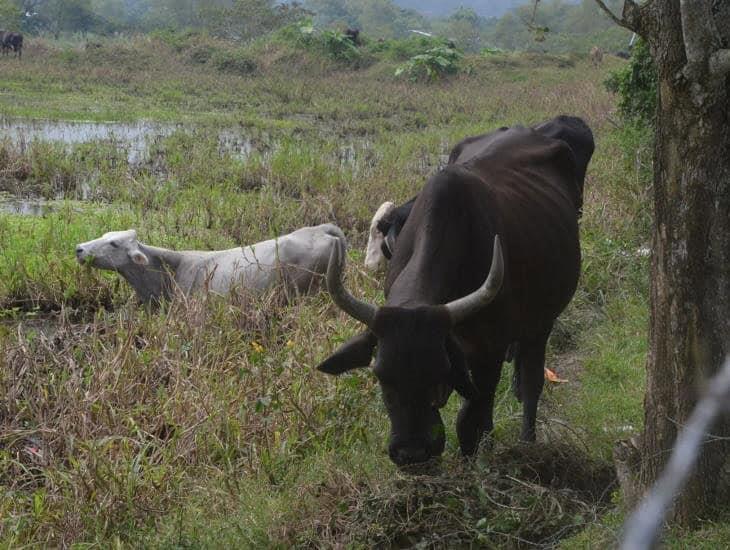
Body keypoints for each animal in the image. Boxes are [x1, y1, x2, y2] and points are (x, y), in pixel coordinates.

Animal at [318, 125, 584, 466]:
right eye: (381, 374)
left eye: (439, 370)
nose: (412, 452)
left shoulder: (489, 350)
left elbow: (470, 421)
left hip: (542, 322)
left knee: (530, 384)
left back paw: (528, 441)